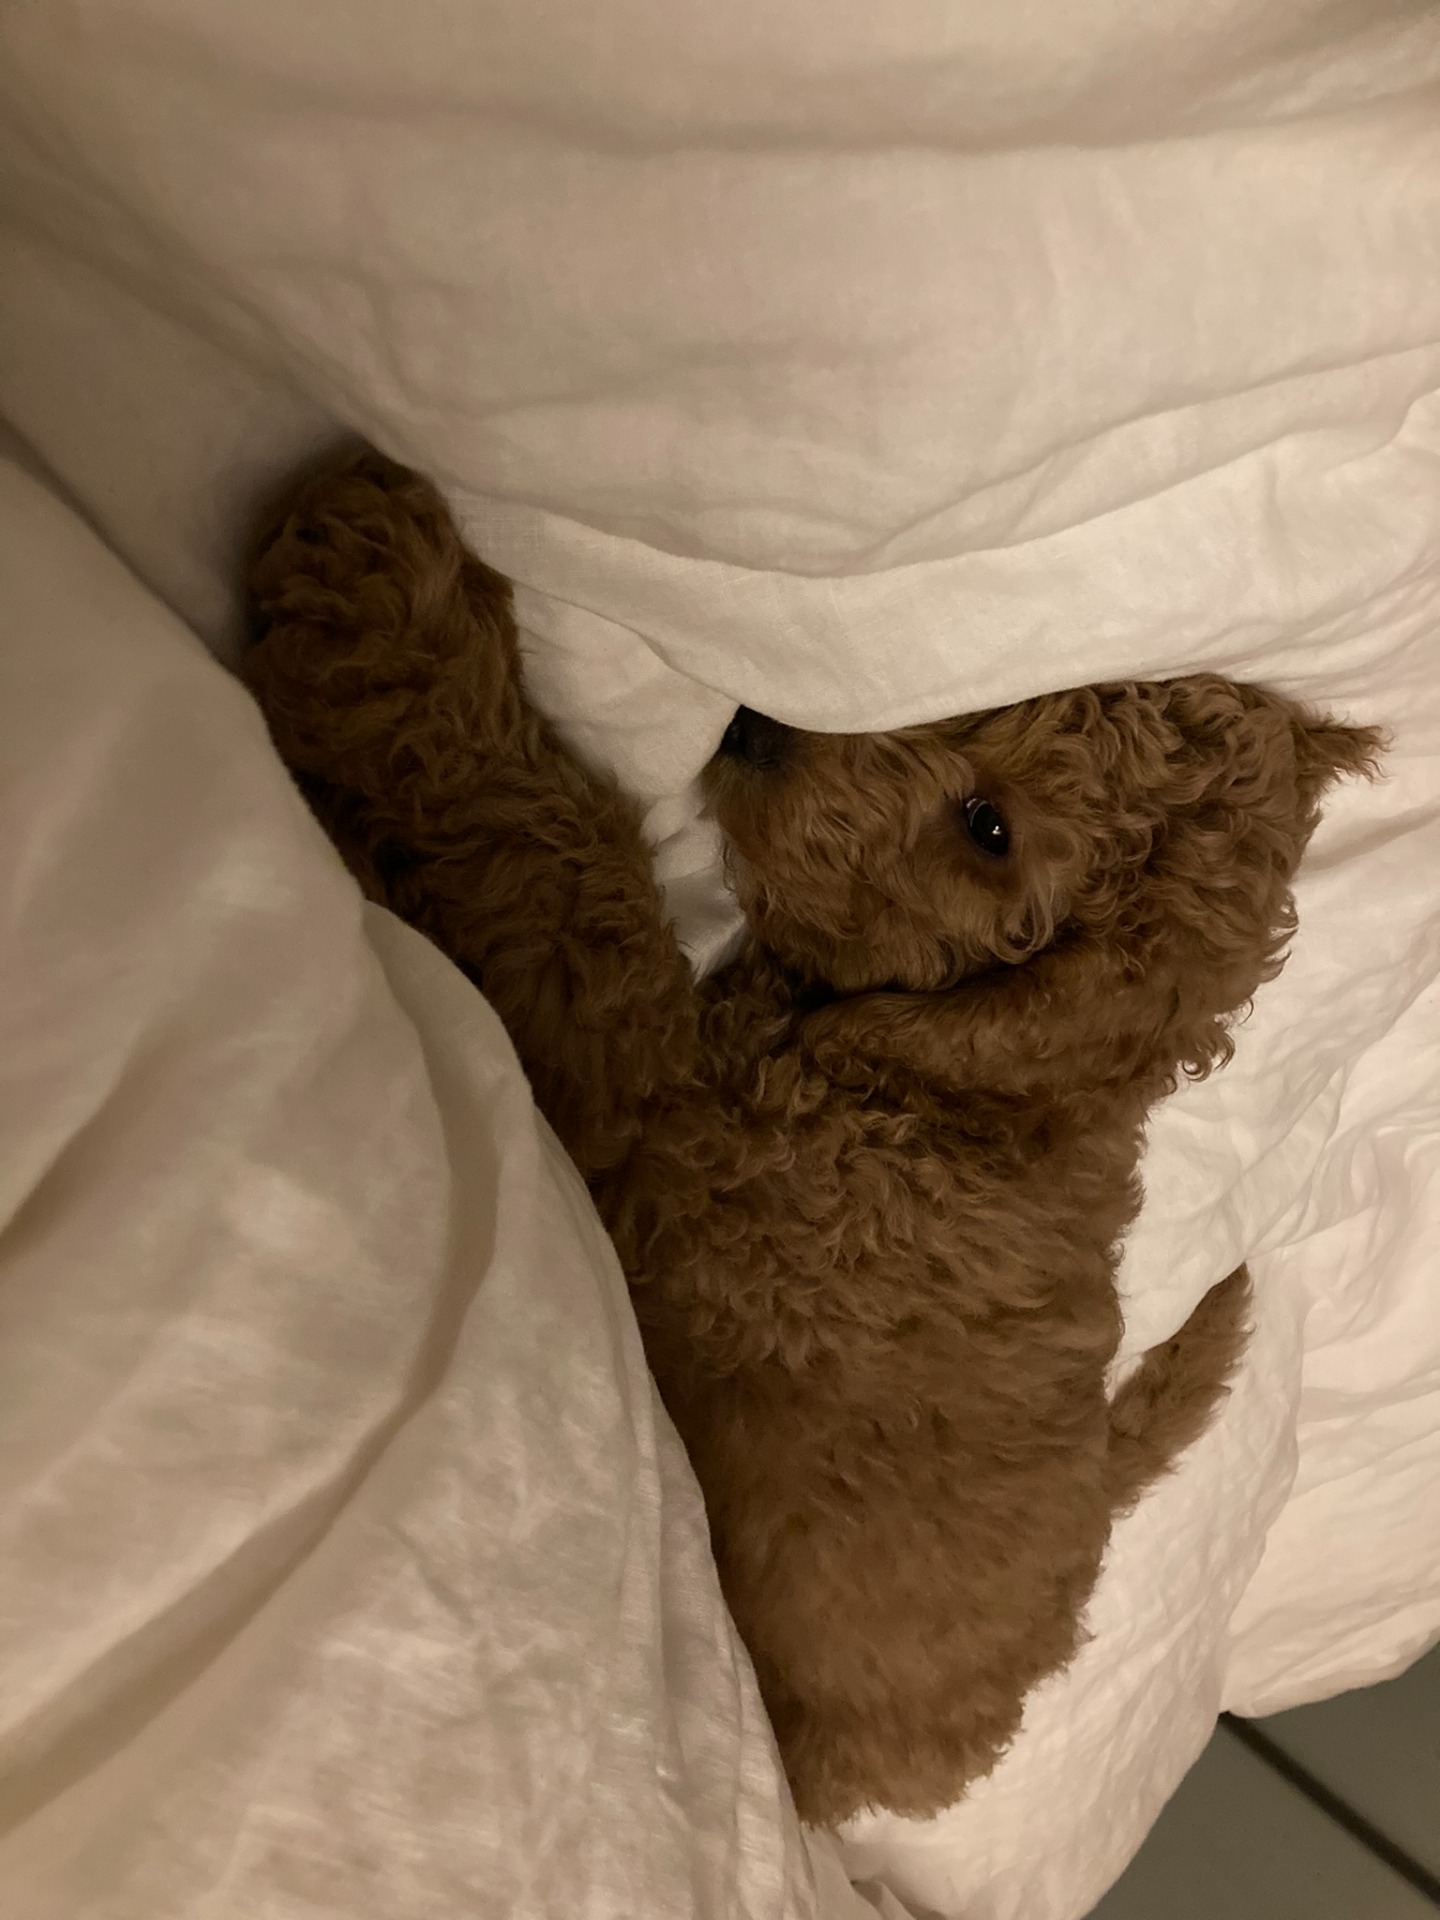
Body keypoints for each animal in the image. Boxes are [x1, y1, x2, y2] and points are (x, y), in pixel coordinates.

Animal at [244, 449, 1380, 1826]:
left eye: (987, 829)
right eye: (993, 704)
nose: (761, 729)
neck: (943, 1093)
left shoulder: (668, 1123)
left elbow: (566, 876)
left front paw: (370, 598)